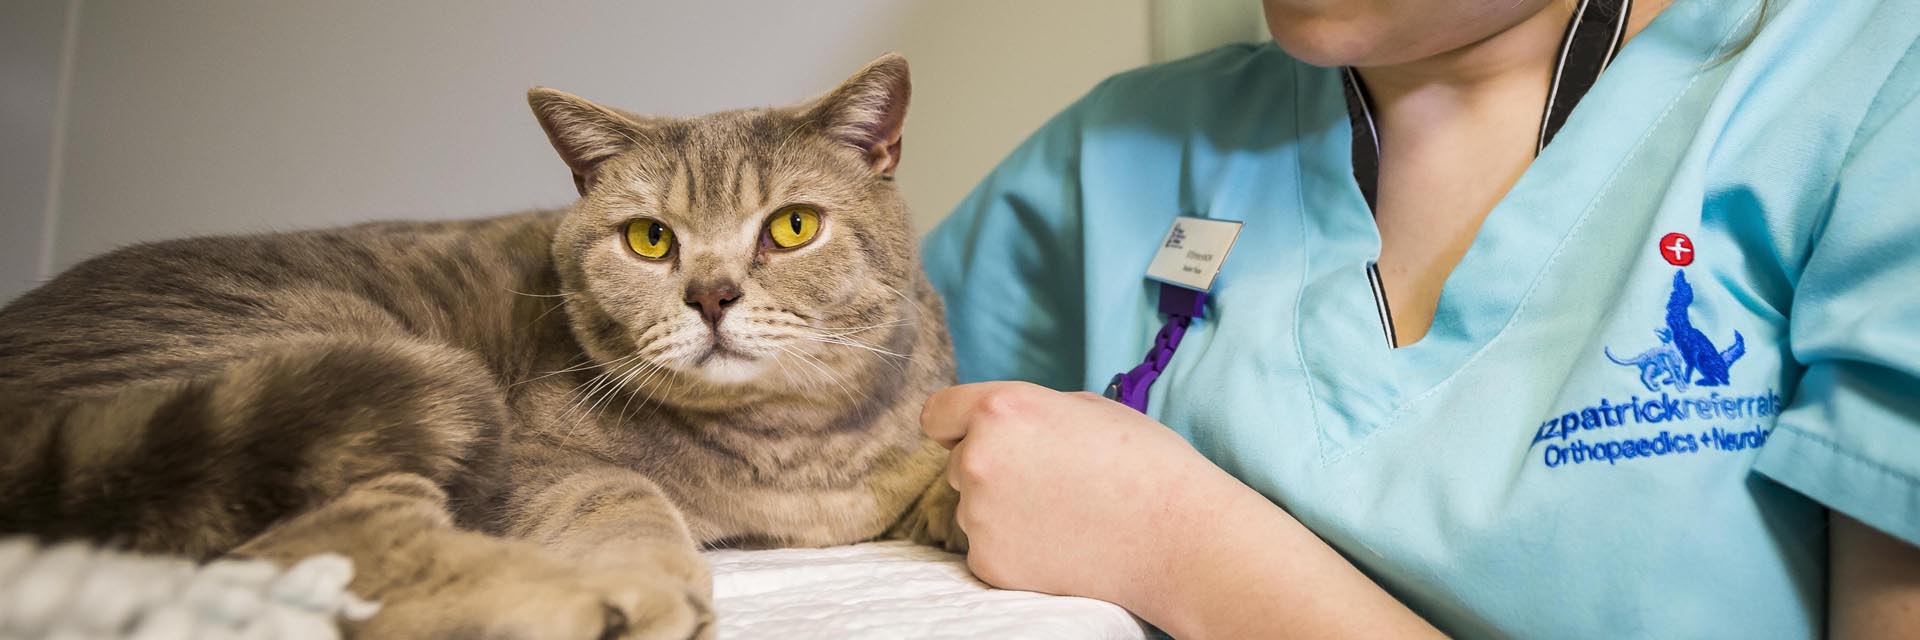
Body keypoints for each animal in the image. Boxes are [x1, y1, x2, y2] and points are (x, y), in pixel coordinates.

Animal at [0, 54, 960, 638]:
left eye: (792, 226)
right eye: (650, 238)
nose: (712, 295)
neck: (787, 449)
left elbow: (937, 471)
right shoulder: (534, 457)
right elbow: (624, 492)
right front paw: (651, 574)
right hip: (330, 372)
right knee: (328, 543)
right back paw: (586, 604)